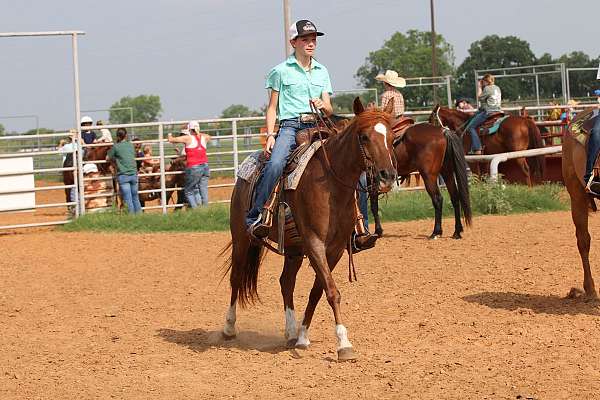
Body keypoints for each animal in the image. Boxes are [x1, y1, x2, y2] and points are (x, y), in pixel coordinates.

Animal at [220, 97, 398, 362]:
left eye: (392, 137)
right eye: (364, 136)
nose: (387, 176)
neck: (332, 184)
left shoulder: (334, 249)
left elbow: (318, 290)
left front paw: (303, 337)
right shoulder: (315, 243)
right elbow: (331, 291)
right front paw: (344, 344)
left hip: (294, 248)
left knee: (286, 282)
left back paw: (291, 332)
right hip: (241, 237)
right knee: (236, 277)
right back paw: (229, 328)